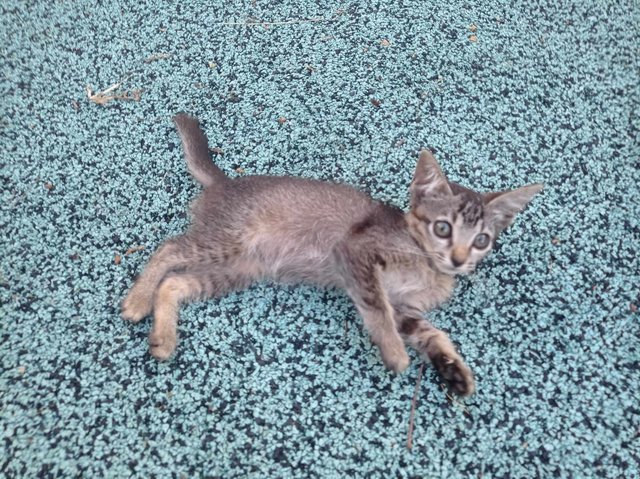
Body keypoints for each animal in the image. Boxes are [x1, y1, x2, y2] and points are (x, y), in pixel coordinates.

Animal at [122, 114, 544, 396]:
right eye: (443, 228)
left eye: (482, 240)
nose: (458, 259)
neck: (425, 264)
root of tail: (226, 183)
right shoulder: (356, 255)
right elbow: (377, 309)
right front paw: (395, 353)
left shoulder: (406, 307)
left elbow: (430, 332)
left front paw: (452, 367)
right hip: (226, 242)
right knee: (168, 248)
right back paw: (138, 300)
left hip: (236, 269)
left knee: (175, 282)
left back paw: (163, 337)